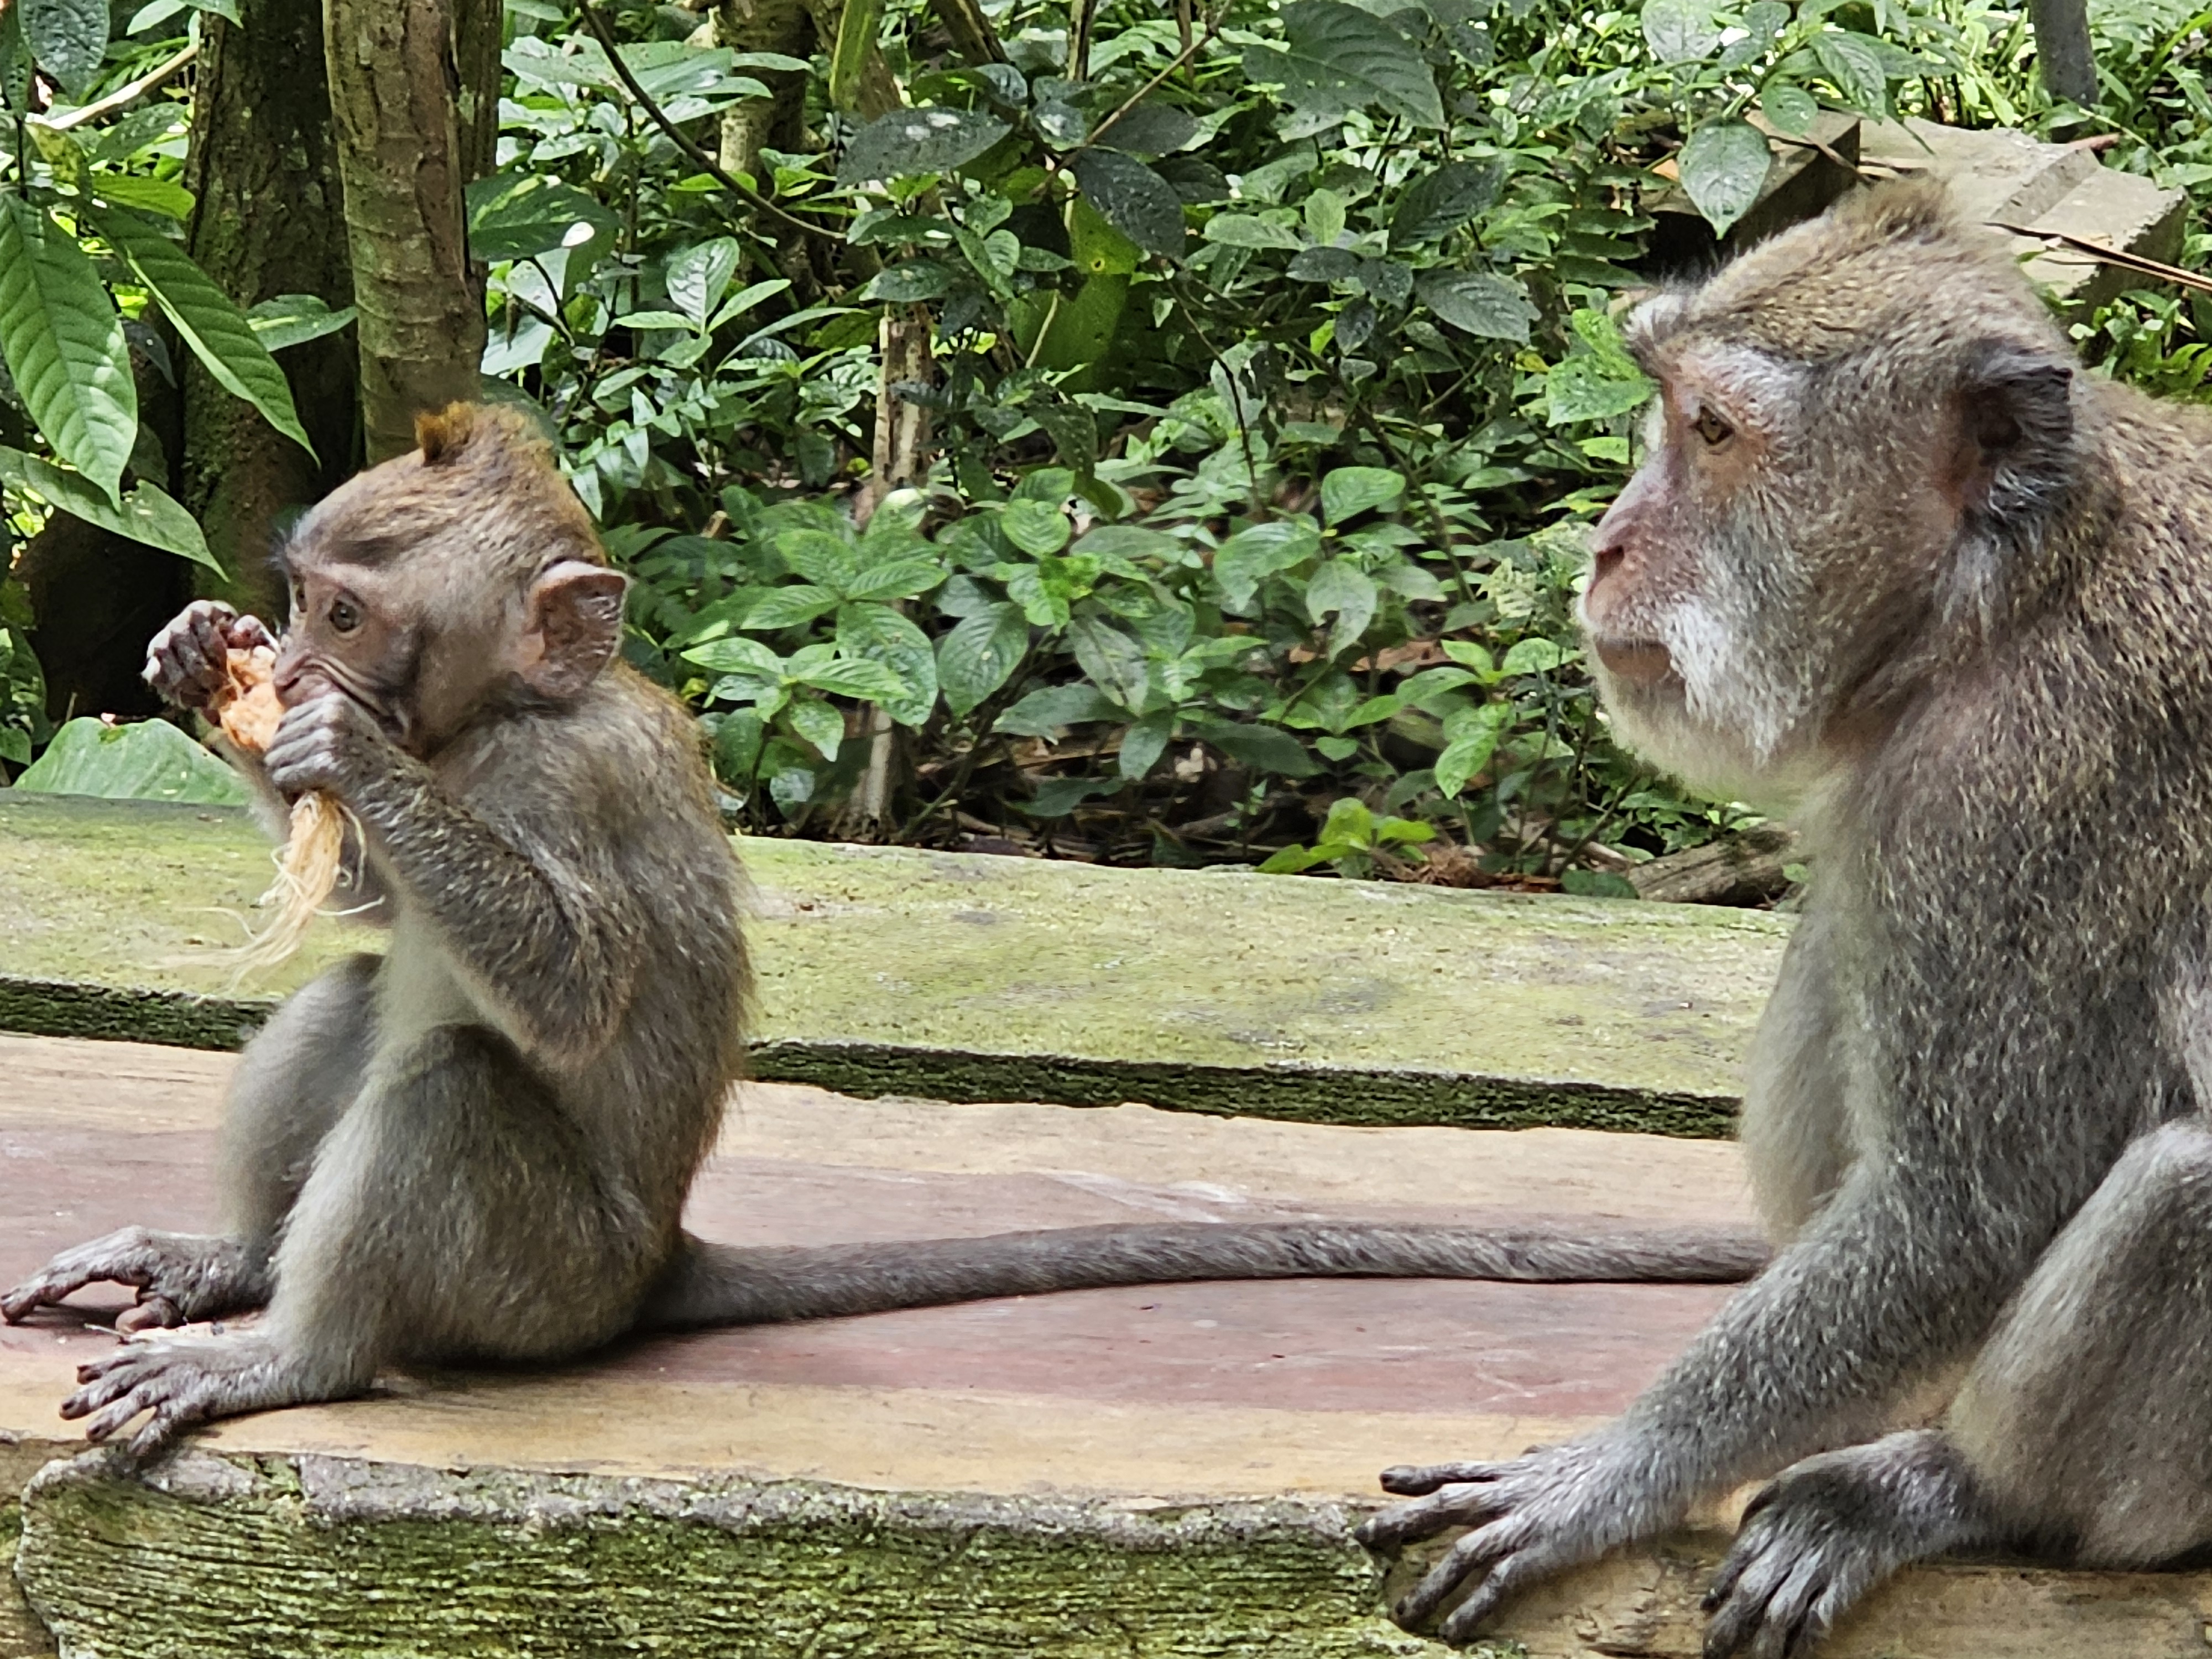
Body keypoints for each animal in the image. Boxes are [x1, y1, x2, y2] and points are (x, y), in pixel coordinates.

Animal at [0, 409, 1761, 1460]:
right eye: (305, 600)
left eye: (352, 616)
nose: (294, 660)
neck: (498, 718)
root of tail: (657, 1264)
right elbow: (369, 909)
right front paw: (201, 669)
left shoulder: (570, 777)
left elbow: (572, 993)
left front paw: (344, 758)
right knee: (359, 1001)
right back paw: (231, 1261)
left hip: (546, 1282)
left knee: (452, 1087)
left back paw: (297, 1351)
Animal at [1354, 176, 2212, 1655]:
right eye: (1664, 408)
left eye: (1711, 431)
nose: (1605, 545)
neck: (2009, 592)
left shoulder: (2018, 791)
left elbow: (1962, 1213)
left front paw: (1611, 1473)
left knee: (2186, 1186)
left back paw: (1960, 1492)